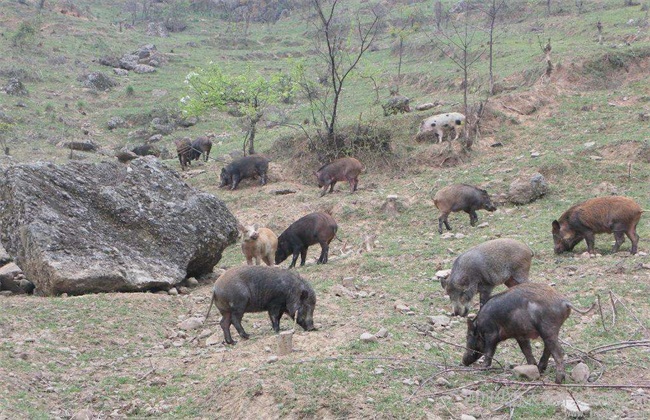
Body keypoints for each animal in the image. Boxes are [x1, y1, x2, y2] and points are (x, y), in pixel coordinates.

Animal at [458, 282, 588, 384]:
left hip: (548, 328)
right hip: (550, 331)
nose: (463, 361)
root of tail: (565, 302)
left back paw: (558, 381)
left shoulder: (491, 334)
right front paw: (531, 366)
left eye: (468, 336)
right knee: (548, 349)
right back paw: (540, 369)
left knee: (558, 352)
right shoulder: (520, 335)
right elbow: (526, 351)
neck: (480, 326)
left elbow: (489, 352)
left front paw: (482, 368)